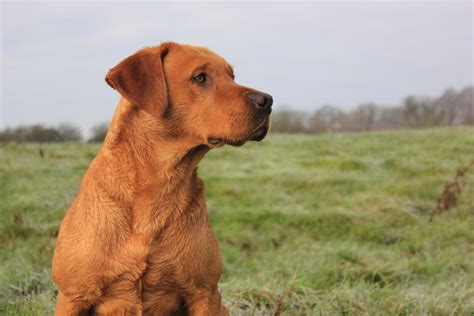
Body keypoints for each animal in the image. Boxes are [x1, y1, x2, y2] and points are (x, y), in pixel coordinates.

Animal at [51, 42, 274, 316]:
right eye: (200, 77)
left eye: (232, 76)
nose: (267, 100)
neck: (162, 183)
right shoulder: (73, 295)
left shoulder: (205, 292)